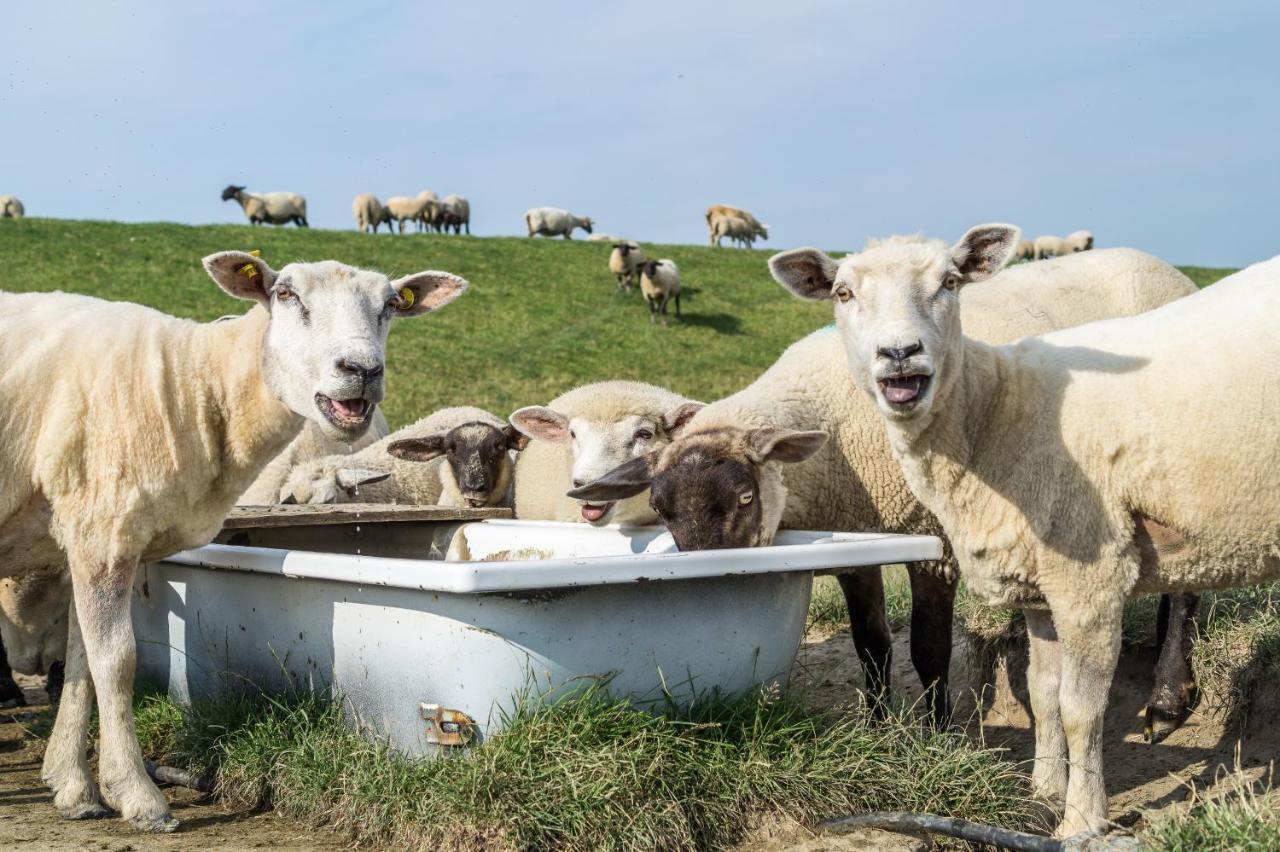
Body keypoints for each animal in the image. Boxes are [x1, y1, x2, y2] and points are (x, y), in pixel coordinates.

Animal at [0, 249, 468, 823]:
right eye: (285, 294)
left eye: (389, 306)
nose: (361, 371)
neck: (193, 381)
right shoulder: (102, 530)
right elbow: (117, 662)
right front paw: (136, 793)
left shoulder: (88, 537)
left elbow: (82, 662)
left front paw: (75, 786)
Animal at [578, 244, 1198, 721]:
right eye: (661, 510)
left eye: (746, 497)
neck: (833, 421)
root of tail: (1166, 267)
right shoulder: (856, 539)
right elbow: (871, 645)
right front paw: (878, 726)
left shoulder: (935, 540)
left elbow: (928, 648)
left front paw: (940, 732)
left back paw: (1169, 696)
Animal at [762, 222, 1274, 834]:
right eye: (843, 292)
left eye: (950, 282)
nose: (900, 353)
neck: (993, 410)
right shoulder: (1038, 586)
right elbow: (1041, 692)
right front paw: (1042, 793)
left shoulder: (1089, 579)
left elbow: (1080, 709)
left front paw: (1081, 821)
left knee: (1185, 596)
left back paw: (1167, 702)